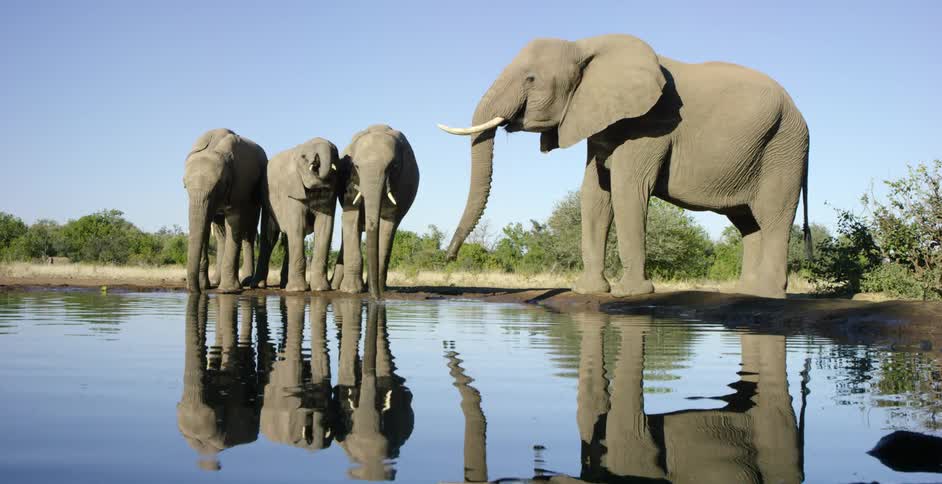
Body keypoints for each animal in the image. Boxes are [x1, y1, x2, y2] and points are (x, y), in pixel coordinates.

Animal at [183, 128, 268, 293]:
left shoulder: (239, 183)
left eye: (218, 185)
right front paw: (206, 286)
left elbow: (234, 223)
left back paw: (246, 281)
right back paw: (216, 281)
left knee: (248, 232)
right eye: (184, 186)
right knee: (221, 233)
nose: (194, 290)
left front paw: (228, 290)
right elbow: (205, 226)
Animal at [253, 137, 342, 292]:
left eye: (335, 154)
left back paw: (284, 285)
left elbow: (324, 228)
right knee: (269, 237)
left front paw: (321, 289)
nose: (316, 162)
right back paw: (259, 285)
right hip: (268, 201)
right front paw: (298, 290)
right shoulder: (292, 190)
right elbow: (298, 226)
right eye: (303, 157)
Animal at [331, 125, 419, 299]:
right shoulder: (350, 179)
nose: (377, 298)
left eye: (393, 166)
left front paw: (375, 290)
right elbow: (350, 217)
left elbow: (388, 225)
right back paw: (337, 286)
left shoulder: (403, 182)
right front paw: (351, 290)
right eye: (356, 166)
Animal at [438, 34, 810, 298]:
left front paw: (629, 294)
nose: (449, 257)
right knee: (747, 221)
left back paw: (767, 294)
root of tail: (800, 114)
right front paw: (587, 290)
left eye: (530, 78)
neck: (585, 47)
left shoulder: (651, 122)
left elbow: (626, 188)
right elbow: (594, 194)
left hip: (784, 148)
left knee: (774, 215)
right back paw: (746, 292)